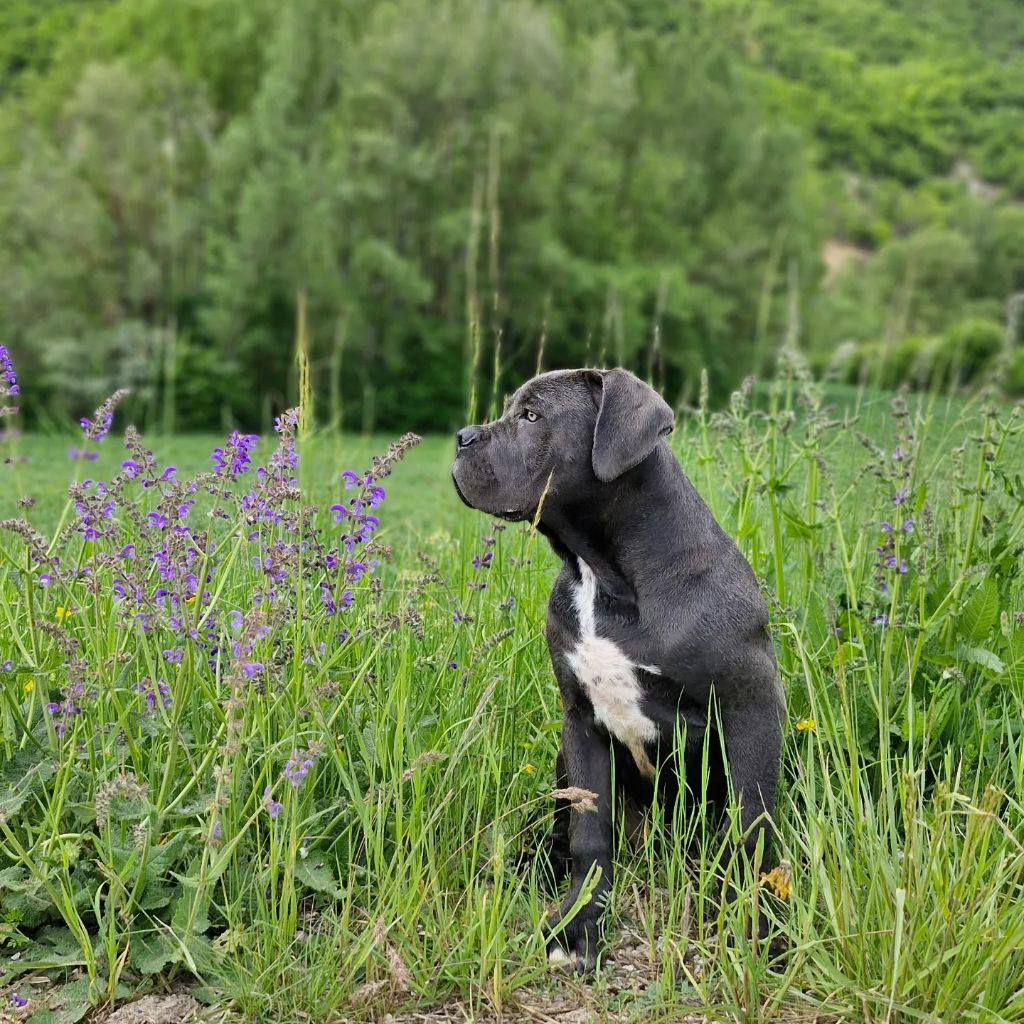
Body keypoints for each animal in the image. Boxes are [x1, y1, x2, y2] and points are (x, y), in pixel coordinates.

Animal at [450, 366, 782, 966]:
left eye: (532, 416)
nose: (462, 436)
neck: (604, 574)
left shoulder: (751, 708)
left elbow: (750, 824)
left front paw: (754, 928)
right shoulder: (580, 721)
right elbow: (590, 831)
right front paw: (578, 922)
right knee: (563, 830)